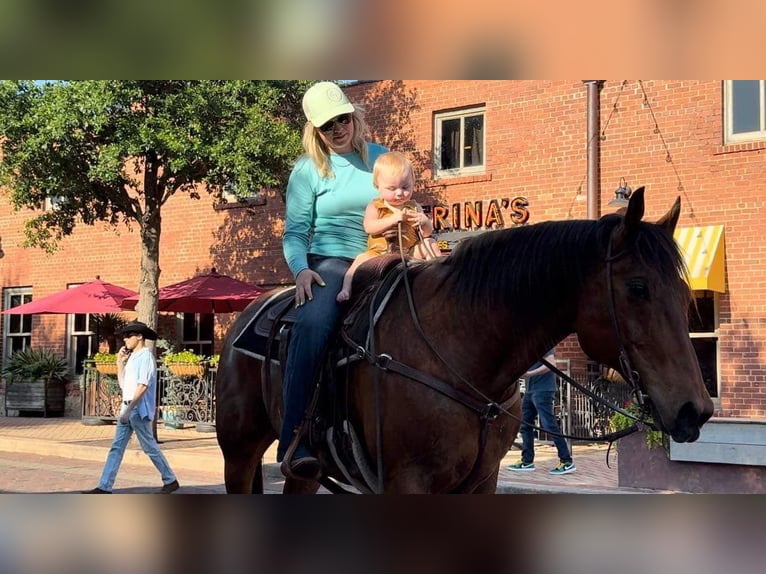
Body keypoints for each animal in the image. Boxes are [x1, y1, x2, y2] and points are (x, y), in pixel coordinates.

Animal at [215, 187, 714, 493]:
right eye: (638, 287)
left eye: (684, 293)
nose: (697, 410)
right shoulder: (405, 482)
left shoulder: (481, 481)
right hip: (239, 452)